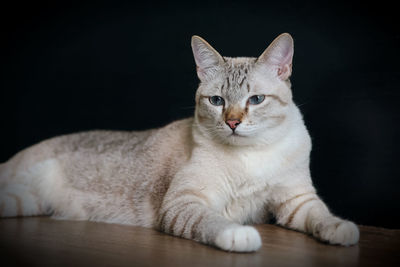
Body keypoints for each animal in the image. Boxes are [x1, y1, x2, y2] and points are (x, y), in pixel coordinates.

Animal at [0, 32, 360, 252]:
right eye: (216, 101)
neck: (251, 155)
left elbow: (321, 216)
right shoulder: (185, 203)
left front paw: (341, 229)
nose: (232, 122)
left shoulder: (295, 200)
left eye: (256, 99)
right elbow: (214, 222)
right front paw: (240, 235)